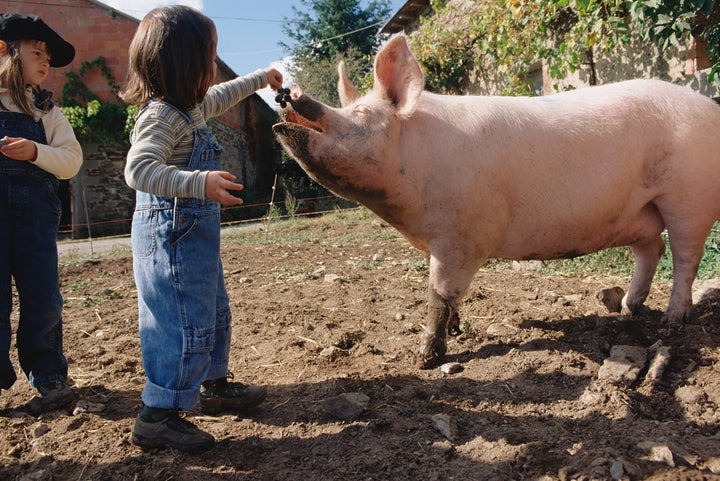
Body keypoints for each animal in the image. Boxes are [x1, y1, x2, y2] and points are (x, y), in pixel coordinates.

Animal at [274, 34, 720, 368]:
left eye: (362, 115)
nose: (288, 94)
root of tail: (710, 108)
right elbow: (451, 298)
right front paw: (455, 331)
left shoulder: (462, 236)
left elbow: (439, 296)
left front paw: (425, 359)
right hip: (640, 211)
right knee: (651, 249)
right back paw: (628, 308)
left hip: (688, 196)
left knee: (684, 257)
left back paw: (672, 320)